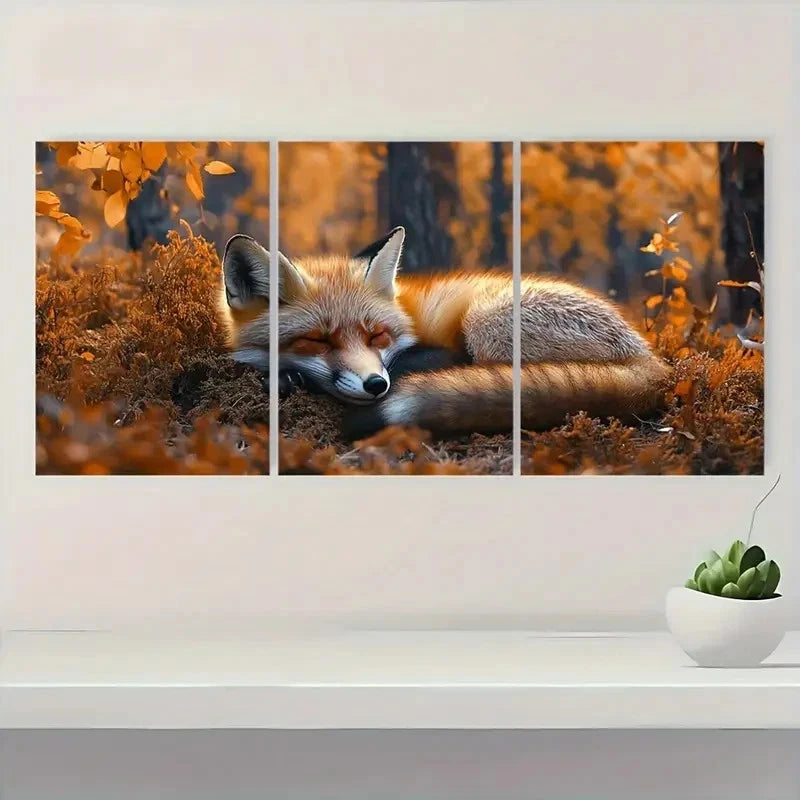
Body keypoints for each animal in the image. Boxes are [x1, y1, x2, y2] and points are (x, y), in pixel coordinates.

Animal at [218, 226, 670, 437]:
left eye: (376, 335)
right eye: (318, 340)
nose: (376, 385)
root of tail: (651, 360)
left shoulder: (442, 350)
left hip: (485, 321)